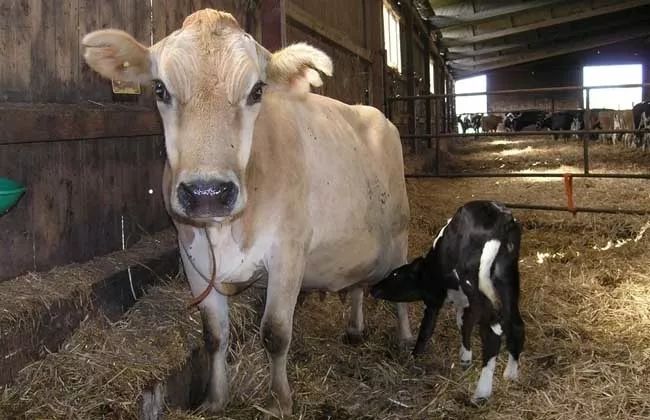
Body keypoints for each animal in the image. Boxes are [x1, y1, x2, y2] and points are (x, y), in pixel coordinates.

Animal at [81, 8, 410, 416]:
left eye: (257, 91)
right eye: (160, 89)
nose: (207, 193)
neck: (225, 231)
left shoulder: (288, 253)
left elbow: (275, 333)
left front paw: (280, 401)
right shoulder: (192, 258)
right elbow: (214, 336)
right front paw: (215, 399)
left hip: (398, 235)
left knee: (399, 282)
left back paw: (406, 340)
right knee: (356, 284)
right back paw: (354, 329)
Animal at [370, 200, 520, 404]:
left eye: (394, 274)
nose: (373, 288)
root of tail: (502, 215)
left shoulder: (434, 300)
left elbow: (426, 329)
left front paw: (414, 356)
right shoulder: (466, 304)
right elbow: (464, 324)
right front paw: (465, 357)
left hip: (479, 286)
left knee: (493, 332)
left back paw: (481, 393)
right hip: (508, 283)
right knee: (516, 324)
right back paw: (511, 373)